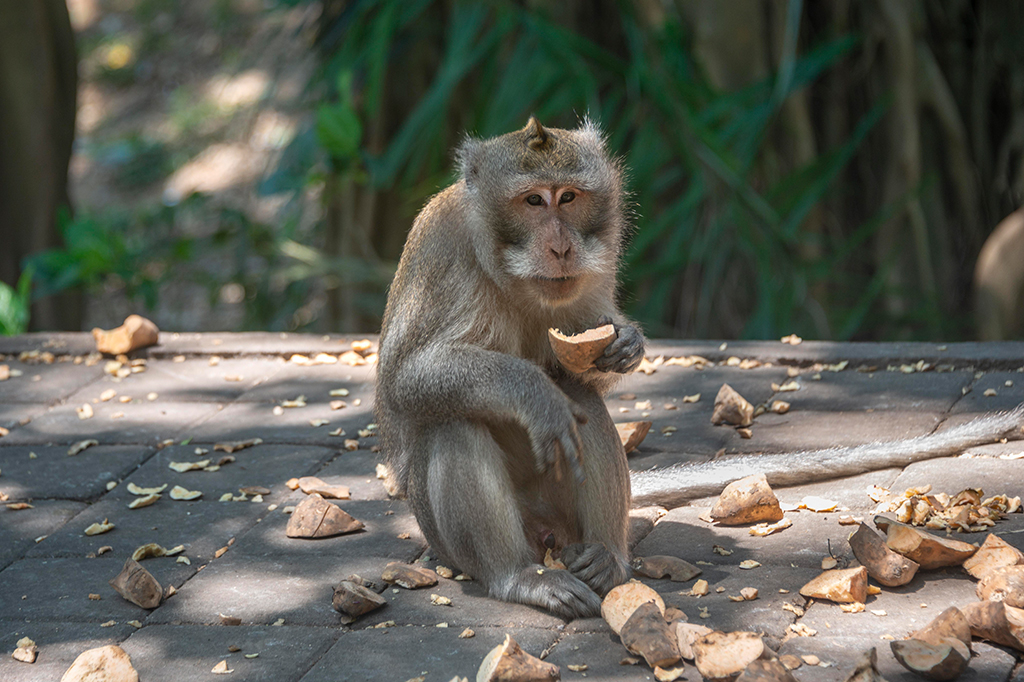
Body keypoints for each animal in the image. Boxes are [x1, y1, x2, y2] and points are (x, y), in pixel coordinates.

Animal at [375, 117, 1024, 620]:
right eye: (532, 201)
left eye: (569, 198)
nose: (560, 247)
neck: (515, 276)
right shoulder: (447, 254)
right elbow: (409, 379)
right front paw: (533, 393)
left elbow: (586, 366)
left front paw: (627, 344)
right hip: (450, 539)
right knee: (454, 424)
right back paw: (518, 578)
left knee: (580, 400)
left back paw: (607, 558)